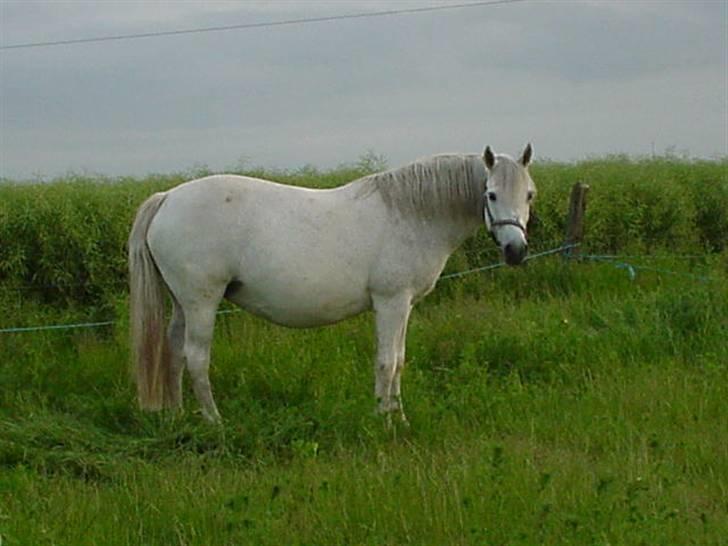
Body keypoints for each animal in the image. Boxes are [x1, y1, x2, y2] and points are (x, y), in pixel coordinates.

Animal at [128, 143, 536, 420]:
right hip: (202, 302)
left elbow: (399, 360)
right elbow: (387, 361)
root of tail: (167, 198)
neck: (410, 213)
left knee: (174, 351)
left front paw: (398, 417)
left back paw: (179, 414)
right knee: (196, 358)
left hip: (183, 303)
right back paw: (215, 421)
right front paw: (384, 420)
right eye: (491, 194)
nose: (516, 251)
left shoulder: (403, 306)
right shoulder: (391, 302)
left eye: (529, 195)